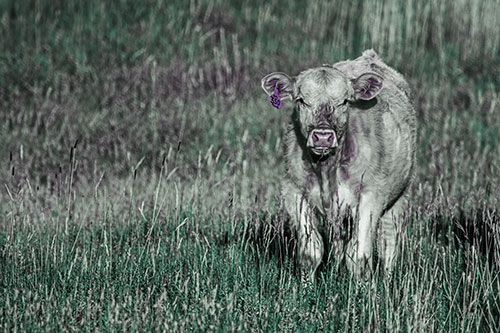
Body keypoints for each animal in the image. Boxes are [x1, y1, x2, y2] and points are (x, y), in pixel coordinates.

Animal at [260, 49, 416, 278]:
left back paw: (388, 279)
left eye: (344, 101)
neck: (326, 169)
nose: (323, 136)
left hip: (401, 194)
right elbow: (310, 252)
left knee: (389, 242)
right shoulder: (295, 193)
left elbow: (359, 257)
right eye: (301, 100)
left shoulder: (371, 197)